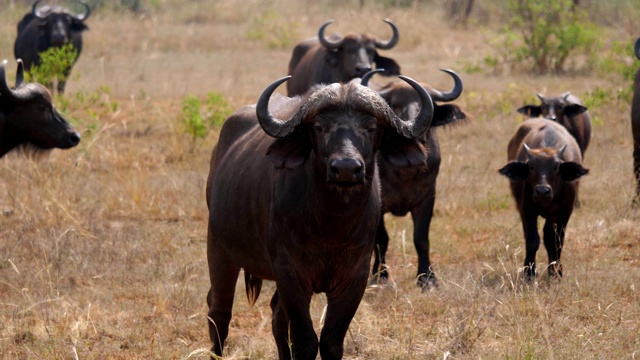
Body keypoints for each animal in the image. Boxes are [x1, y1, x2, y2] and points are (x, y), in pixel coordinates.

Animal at [205, 74, 436, 358]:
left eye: (371, 127)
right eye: (319, 126)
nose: (346, 168)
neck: (330, 225)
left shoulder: (354, 279)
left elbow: (330, 340)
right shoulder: (290, 275)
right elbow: (305, 341)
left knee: (276, 319)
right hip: (219, 249)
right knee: (219, 311)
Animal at [364, 69, 470, 290]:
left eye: (426, 104)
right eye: (395, 105)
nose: (412, 127)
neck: (407, 169)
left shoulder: (427, 198)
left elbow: (421, 239)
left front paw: (427, 278)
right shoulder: (378, 204)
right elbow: (381, 239)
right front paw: (379, 275)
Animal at [500, 118, 592, 282]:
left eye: (556, 166)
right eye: (531, 166)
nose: (542, 191)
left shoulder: (564, 212)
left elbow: (555, 241)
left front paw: (556, 272)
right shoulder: (527, 210)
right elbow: (532, 240)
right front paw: (529, 272)